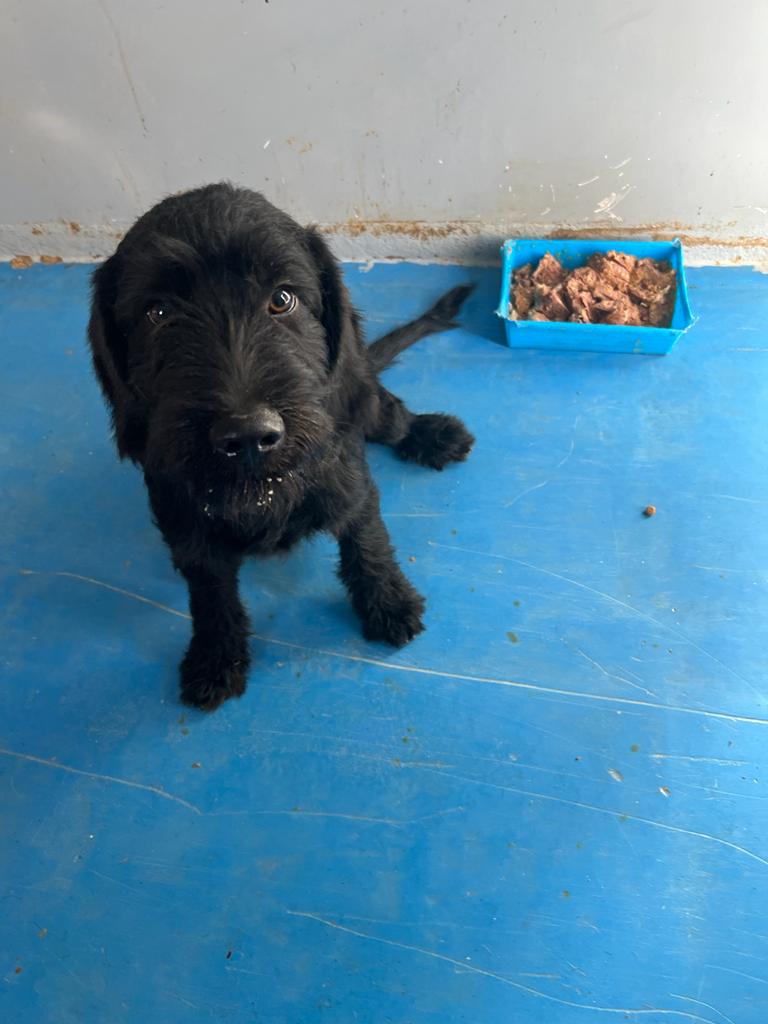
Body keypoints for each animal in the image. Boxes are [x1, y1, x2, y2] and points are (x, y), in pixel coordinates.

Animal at [87, 183, 474, 710]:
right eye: (158, 313)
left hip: (364, 400)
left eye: (282, 299)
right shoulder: (186, 526)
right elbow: (209, 593)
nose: (249, 435)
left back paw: (433, 434)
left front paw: (387, 602)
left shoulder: (351, 486)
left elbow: (368, 543)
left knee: (391, 416)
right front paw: (215, 655)